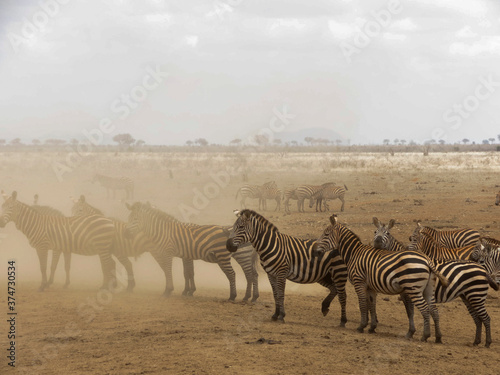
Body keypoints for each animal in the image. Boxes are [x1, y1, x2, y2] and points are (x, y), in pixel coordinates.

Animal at [125, 203, 260, 302]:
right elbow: (187, 273)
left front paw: (168, 291)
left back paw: (235, 297)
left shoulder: (169, 253)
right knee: (253, 274)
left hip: (235, 256)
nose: (127, 234)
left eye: (135, 219)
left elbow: (169, 271)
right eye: (129, 219)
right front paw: (187, 291)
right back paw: (252, 297)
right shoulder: (185, 255)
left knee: (238, 274)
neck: (165, 232)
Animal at [312, 214, 450, 344]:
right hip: (428, 289)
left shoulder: (359, 282)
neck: (354, 253)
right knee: (434, 310)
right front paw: (372, 327)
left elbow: (362, 304)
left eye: (326, 234)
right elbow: (371, 305)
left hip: (413, 288)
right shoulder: (371, 287)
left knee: (425, 310)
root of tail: (427, 260)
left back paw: (425, 336)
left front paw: (361, 326)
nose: (316, 252)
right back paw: (438, 337)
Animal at [374, 219, 498, 348]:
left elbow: (410, 312)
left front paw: (411, 332)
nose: (376, 242)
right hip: (469, 296)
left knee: (484, 317)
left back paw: (487, 342)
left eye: (387, 233)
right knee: (478, 317)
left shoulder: (408, 293)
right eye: (375, 232)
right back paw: (477, 341)